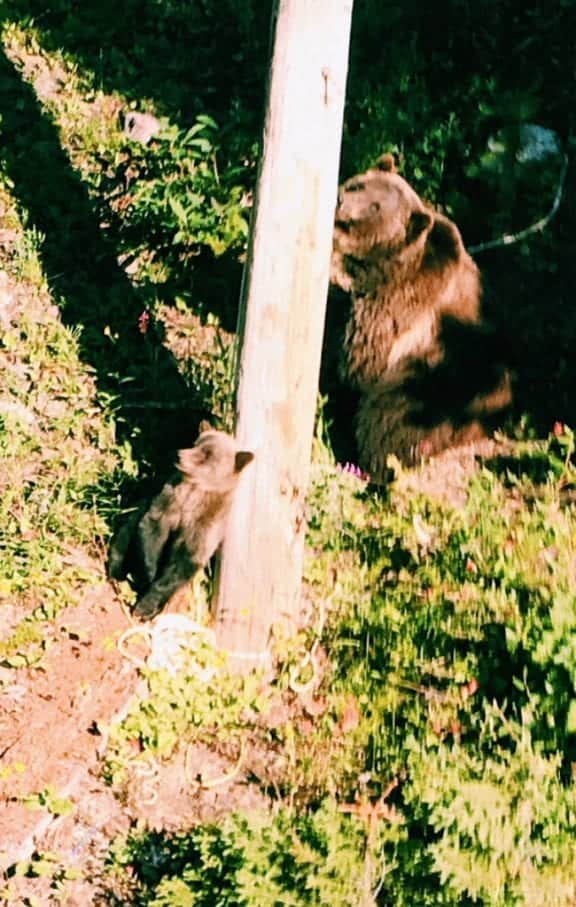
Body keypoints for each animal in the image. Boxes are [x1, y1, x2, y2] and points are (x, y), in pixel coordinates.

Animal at [328, 154, 512, 482]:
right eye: (359, 185)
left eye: (376, 207)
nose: (341, 202)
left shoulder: (398, 302)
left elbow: (358, 363)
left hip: (439, 383)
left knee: (390, 419)